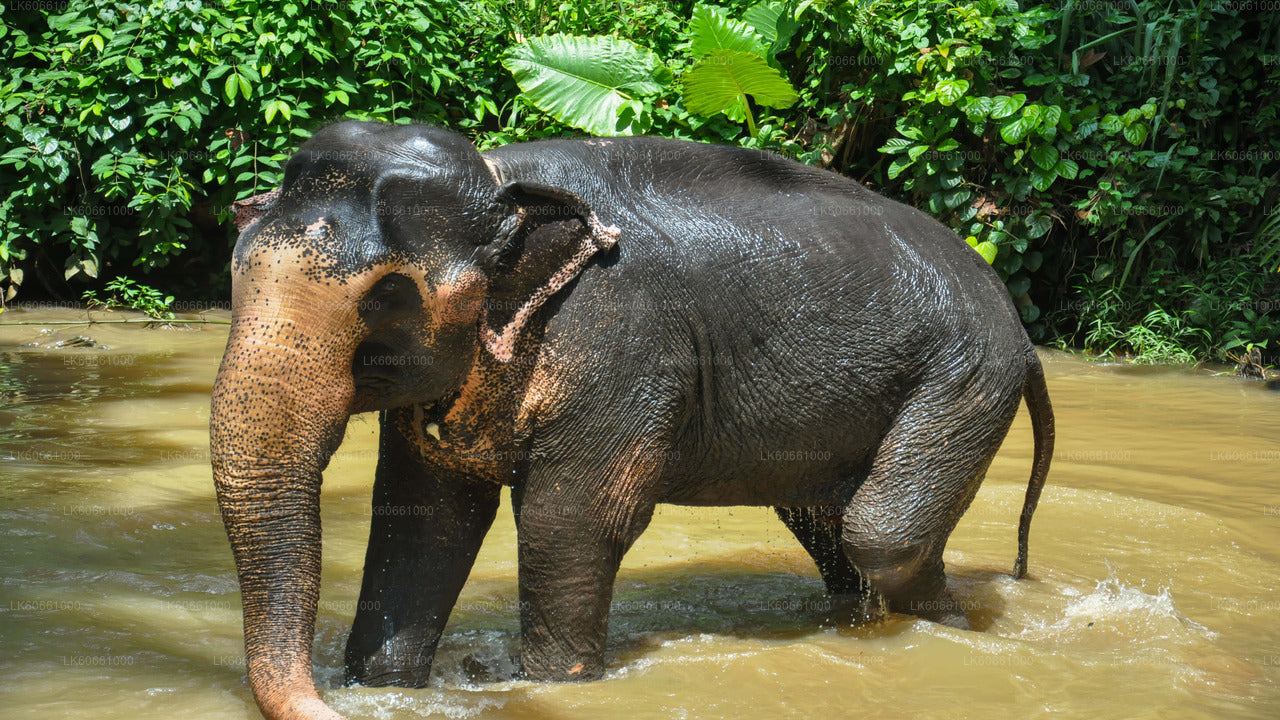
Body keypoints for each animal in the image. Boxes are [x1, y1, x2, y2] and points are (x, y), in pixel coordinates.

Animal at [210, 120, 1054, 720]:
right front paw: (385, 688)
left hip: (966, 376)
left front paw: (555, 686)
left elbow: (570, 519)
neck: (500, 179)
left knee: (882, 535)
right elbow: (424, 519)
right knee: (835, 531)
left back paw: (958, 630)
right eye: (234, 269)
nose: (326, 704)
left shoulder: (625, 341)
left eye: (387, 293)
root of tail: (1018, 323)